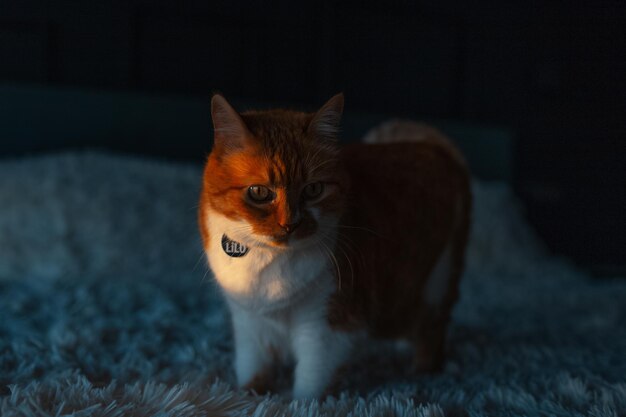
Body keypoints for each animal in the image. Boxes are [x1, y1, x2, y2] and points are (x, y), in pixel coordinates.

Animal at [199, 92, 468, 398]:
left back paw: (424, 370)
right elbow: (252, 369)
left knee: (432, 329)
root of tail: (433, 145)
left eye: (313, 190)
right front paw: (248, 395)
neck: (269, 265)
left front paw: (295, 403)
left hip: (438, 279)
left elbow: (310, 382)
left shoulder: (327, 327)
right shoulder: (249, 323)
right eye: (258, 192)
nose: (290, 224)